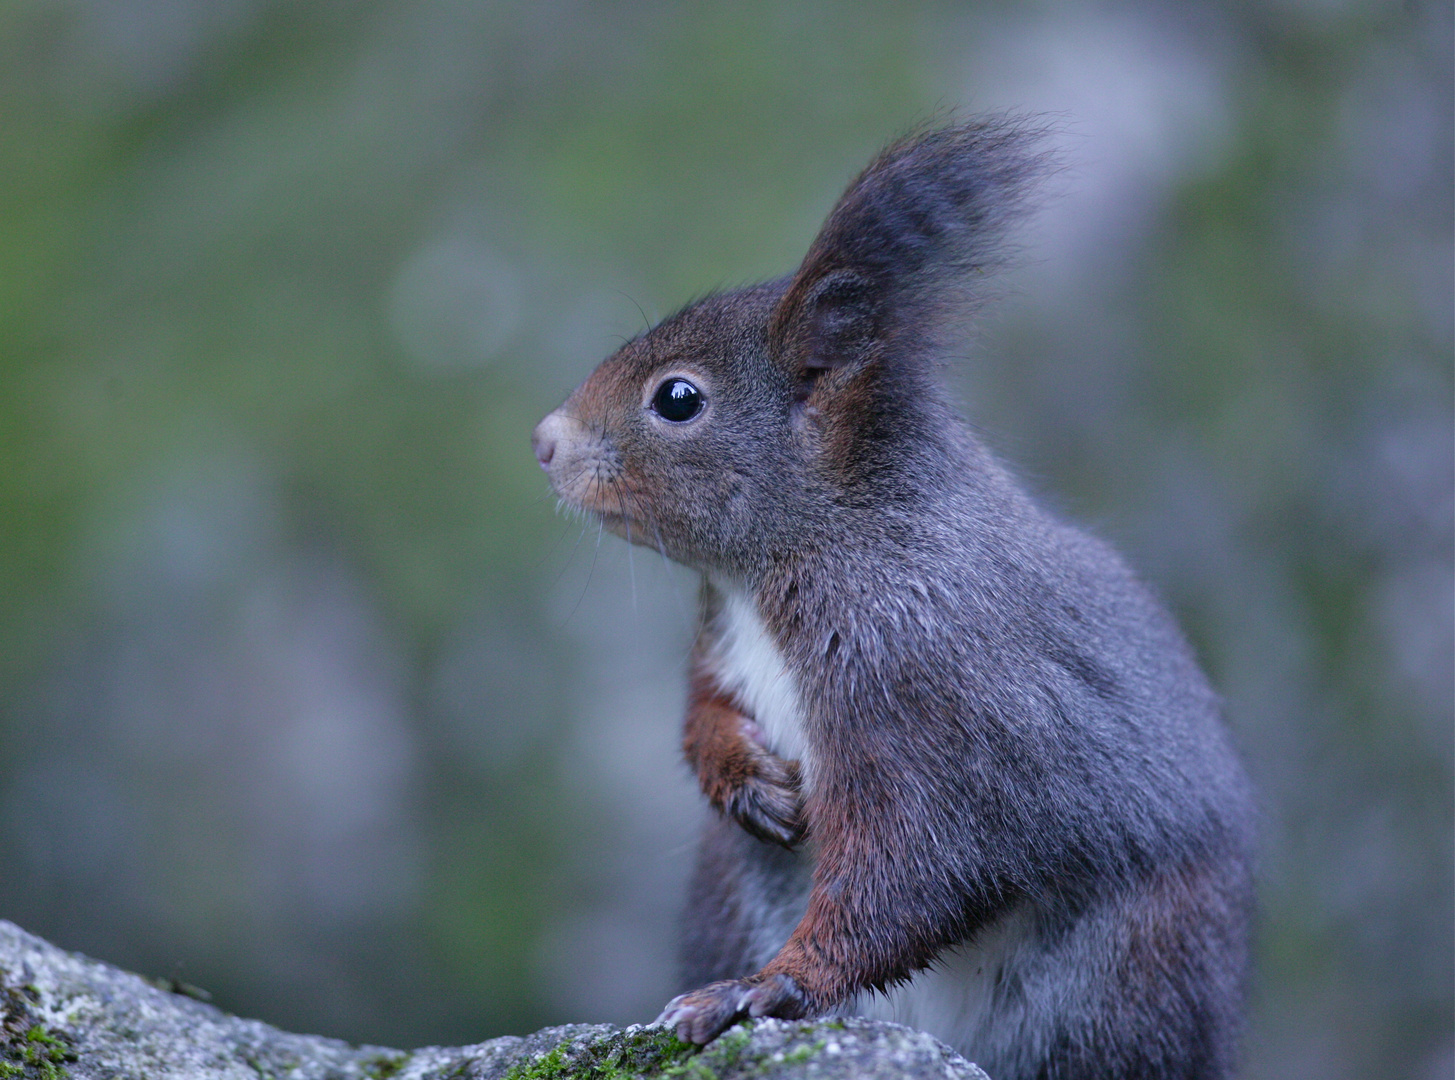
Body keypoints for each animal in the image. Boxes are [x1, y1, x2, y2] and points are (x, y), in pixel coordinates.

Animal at [529, 120, 1257, 1080]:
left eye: (677, 399)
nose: (544, 442)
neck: (789, 561)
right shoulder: (717, 636)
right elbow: (700, 712)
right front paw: (746, 783)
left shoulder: (923, 686)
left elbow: (911, 870)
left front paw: (768, 989)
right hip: (729, 893)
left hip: (1131, 973)